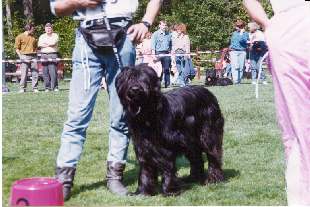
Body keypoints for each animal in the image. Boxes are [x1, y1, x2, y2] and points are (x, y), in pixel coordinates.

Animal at [115, 64, 224, 196]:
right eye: (129, 78)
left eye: (144, 79)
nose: (135, 89)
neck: (148, 115)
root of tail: (208, 92)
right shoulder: (143, 146)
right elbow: (145, 168)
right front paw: (143, 191)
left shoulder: (166, 146)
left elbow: (167, 166)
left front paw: (170, 190)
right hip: (190, 140)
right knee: (196, 157)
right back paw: (193, 178)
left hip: (208, 133)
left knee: (213, 154)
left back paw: (214, 178)